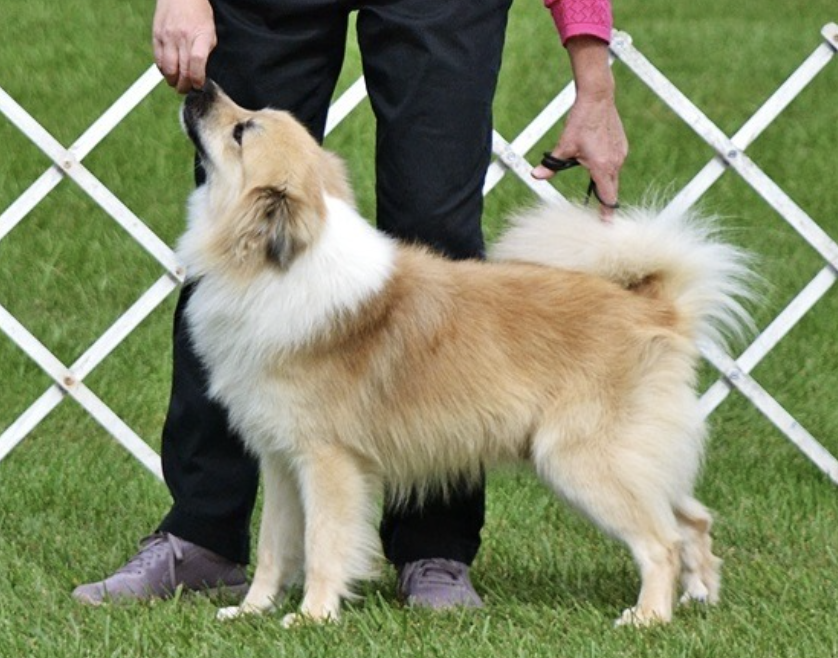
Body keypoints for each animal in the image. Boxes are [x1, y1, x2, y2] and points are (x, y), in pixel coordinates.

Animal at [177, 80, 756, 624]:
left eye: (242, 131)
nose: (200, 86)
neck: (275, 268)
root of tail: (656, 308)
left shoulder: (327, 462)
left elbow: (324, 546)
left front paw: (311, 617)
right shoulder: (280, 460)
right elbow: (274, 549)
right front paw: (251, 611)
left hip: (582, 460)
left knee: (662, 542)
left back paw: (648, 618)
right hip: (633, 457)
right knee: (691, 520)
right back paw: (699, 597)